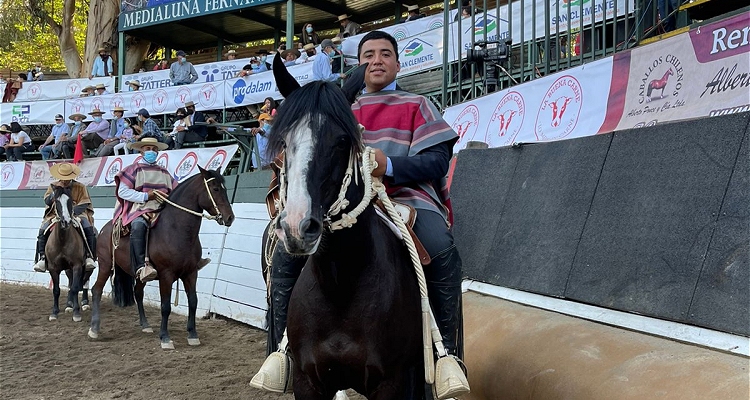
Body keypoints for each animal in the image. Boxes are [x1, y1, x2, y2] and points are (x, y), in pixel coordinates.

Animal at [46, 184, 93, 322]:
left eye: (70, 201)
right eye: (56, 201)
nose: (66, 221)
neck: (62, 240)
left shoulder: (77, 265)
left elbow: (75, 288)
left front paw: (76, 313)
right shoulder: (53, 268)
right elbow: (57, 290)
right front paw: (54, 312)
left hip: (87, 267)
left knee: (84, 282)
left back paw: (84, 303)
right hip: (68, 269)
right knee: (71, 283)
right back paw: (69, 304)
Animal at [88, 167, 235, 348]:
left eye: (224, 189)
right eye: (215, 189)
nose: (230, 217)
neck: (176, 230)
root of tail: (104, 229)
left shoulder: (191, 273)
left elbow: (193, 302)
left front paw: (192, 334)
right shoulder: (166, 275)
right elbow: (165, 306)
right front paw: (165, 337)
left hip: (138, 274)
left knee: (138, 293)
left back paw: (145, 325)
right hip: (106, 265)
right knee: (96, 290)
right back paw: (94, 329)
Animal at [268, 54, 426, 398]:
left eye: (342, 141)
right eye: (284, 142)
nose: (298, 227)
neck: (340, 284)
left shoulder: (391, 383)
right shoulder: (307, 381)